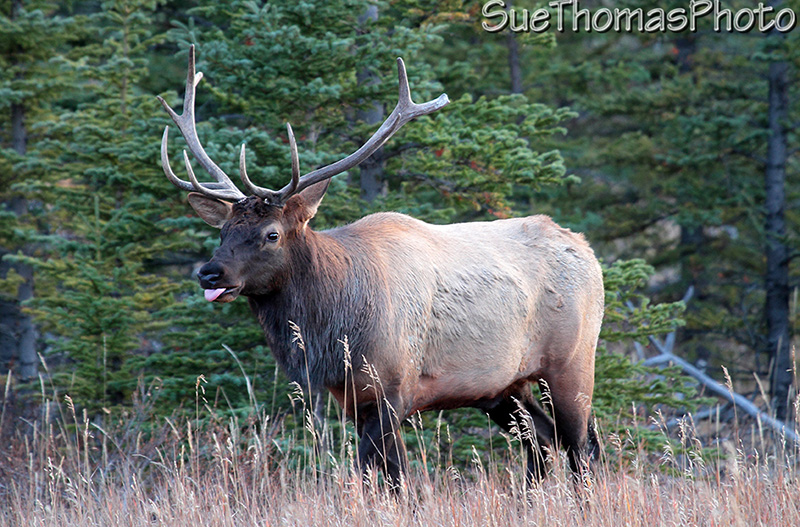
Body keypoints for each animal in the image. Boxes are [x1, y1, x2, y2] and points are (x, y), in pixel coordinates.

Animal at [157, 46, 604, 488]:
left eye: (271, 234)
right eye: (223, 231)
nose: (209, 273)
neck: (336, 329)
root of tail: (588, 251)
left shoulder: (394, 388)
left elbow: (381, 474)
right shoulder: (351, 398)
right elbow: (389, 477)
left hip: (572, 360)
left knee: (582, 447)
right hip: (502, 385)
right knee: (542, 441)